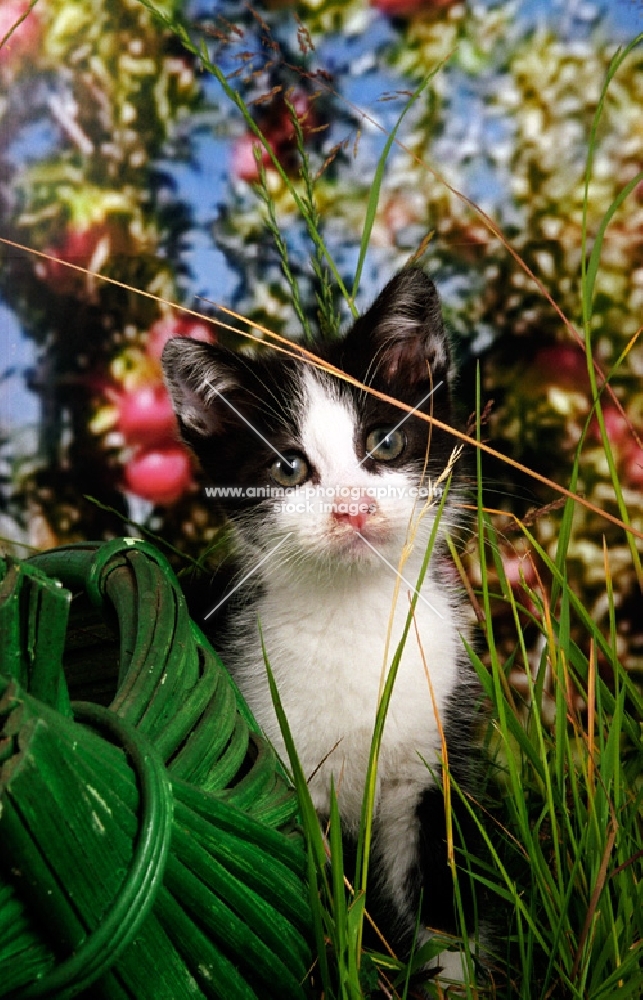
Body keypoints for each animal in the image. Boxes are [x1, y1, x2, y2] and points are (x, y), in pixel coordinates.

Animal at [161, 266, 484, 984]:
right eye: (289, 467)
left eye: (385, 443)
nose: (352, 508)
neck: (352, 611)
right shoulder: (276, 767)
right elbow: (312, 899)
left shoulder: (432, 760)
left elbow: (441, 887)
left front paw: (455, 977)